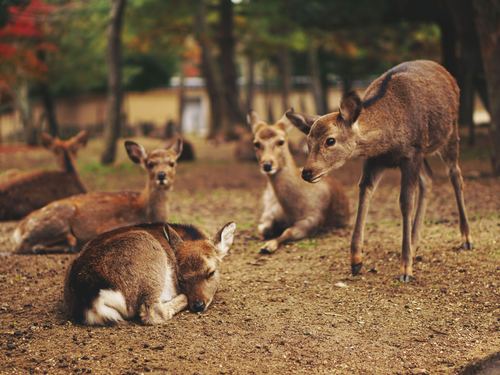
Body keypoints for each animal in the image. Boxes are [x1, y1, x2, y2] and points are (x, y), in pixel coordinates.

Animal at [12, 139, 183, 256]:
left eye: (172, 163)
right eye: (150, 163)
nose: (161, 175)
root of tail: (18, 229)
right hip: (58, 219)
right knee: (26, 246)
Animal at [248, 110, 350, 254]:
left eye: (281, 141)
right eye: (256, 143)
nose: (267, 165)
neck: (292, 210)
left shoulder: (313, 219)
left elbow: (288, 231)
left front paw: (268, 246)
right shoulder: (270, 211)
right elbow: (263, 227)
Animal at [286, 59, 472, 282]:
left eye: (330, 140)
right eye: (308, 142)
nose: (307, 172)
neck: (387, 140)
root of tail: (446, 73)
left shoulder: (411, 153)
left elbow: (405, 202)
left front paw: (405, 269)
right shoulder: (375, 160)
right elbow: (365, 193)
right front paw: (356, 261)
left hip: (450, 133)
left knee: (455, 175)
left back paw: (466, 238)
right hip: (424, 153)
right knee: (428, 178)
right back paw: (415, 240)